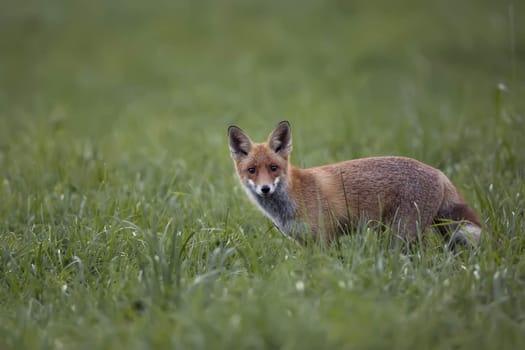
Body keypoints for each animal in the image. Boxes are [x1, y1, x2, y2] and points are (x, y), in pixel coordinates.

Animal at [227, 121, 482, 245]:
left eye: (273, 168)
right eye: (252, 170)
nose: (265, 188)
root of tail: (438, 170)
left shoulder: (325, 238)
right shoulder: (304, 243)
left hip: (402, 234)